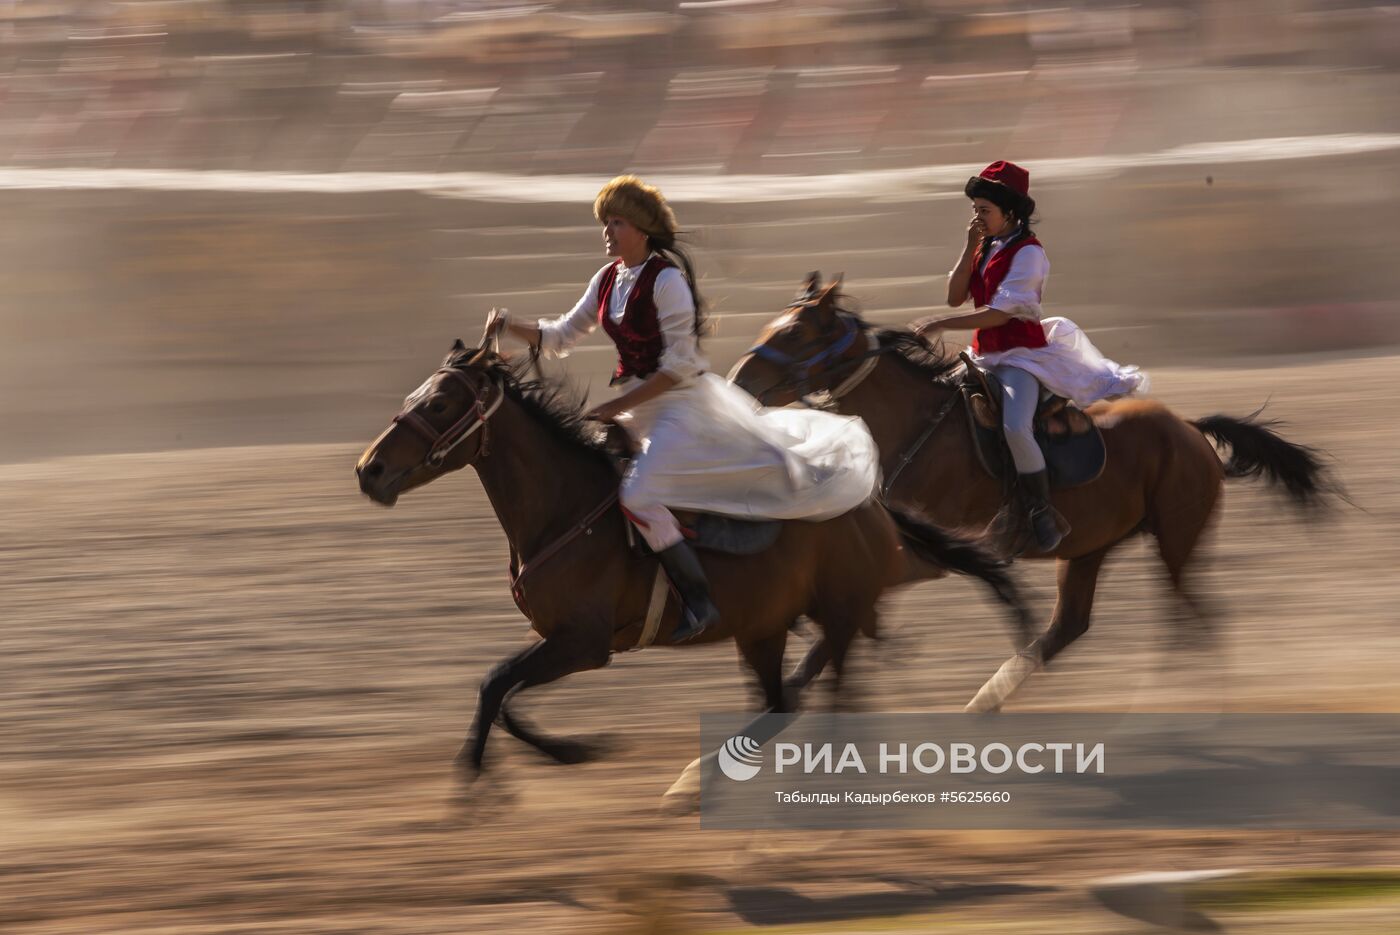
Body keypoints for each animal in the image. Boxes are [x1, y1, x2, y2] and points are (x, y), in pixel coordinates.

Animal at [355, 341, 1024, 806]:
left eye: (440, 403)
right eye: (416, 395)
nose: (369, 470)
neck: (564, 511)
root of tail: (870, 503)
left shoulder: (585, 643)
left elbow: (495, 685)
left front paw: (479, 779)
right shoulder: (552, 635)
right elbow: (500, 691)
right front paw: (570, 751)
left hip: (835, 614)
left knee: (833, 701)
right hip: (766, 627)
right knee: (782, 704)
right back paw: (699, 779)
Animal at [733, 277, 1332, 716]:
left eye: (795, 333)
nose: (739, 380)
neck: (913, 427)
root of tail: (1189, 429)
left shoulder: (924, 553)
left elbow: (840, 626)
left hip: (1176, 538)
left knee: (1193, 620)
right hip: (1089, 548)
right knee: (1070, 627)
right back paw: (985, 704)